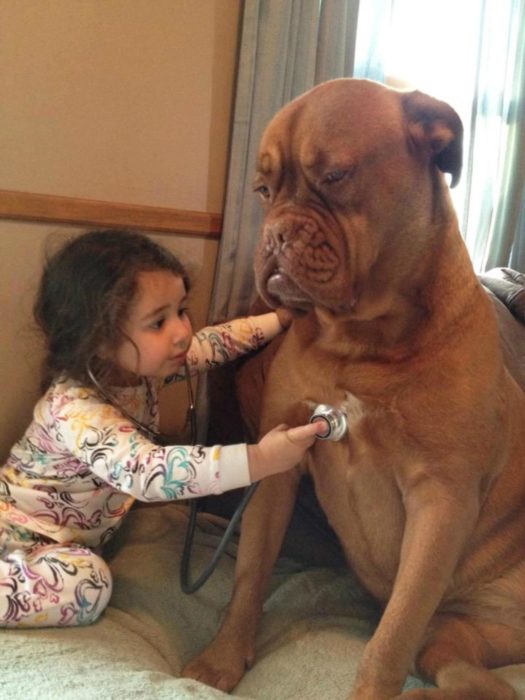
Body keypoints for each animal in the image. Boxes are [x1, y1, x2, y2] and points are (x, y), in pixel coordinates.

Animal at [183, 79, 524, 696]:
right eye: (264, 190)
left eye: (336, 176)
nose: (275, 232)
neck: (362, 341)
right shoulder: (278, 464)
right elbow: (249, 576)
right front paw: (222, 659)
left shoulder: (441, 502)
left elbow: (389, 641)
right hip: (458, 635)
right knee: (453, 662)